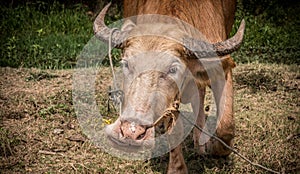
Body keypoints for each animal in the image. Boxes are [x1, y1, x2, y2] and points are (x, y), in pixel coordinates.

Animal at [93, 0, 244, 173]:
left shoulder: (221, 71)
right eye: (126, 64)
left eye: (173, 69)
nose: (131, 132)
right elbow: (174, 131)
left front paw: (214, 147)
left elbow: (226, 126)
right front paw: (177, 168)